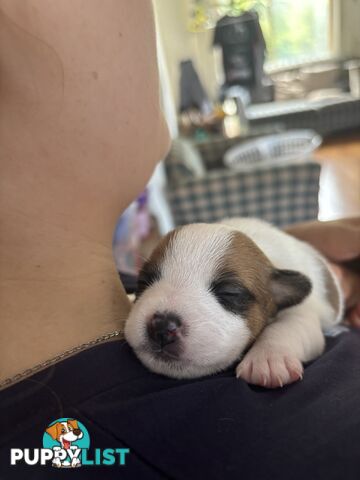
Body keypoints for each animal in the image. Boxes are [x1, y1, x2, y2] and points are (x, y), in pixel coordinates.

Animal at [124, 219, 344, 388]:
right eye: (143, 282)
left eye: (229, 292)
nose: (161, 326)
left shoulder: (303, 310)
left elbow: (288, 326)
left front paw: (268, 357)